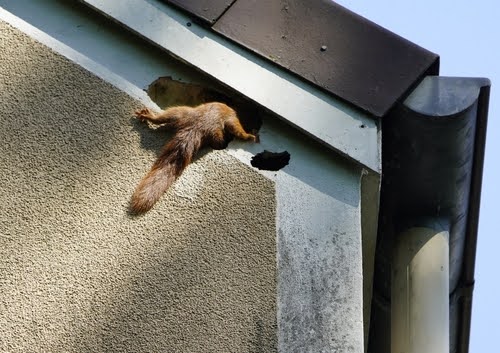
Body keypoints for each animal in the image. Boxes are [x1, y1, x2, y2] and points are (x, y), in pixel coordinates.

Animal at [130, 101, 258, 212]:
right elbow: (239, 131)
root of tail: (197, 126)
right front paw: (251, 135)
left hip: (180, 113)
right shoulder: (232, 118)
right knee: (219, 142)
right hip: (213, 131)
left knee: (162, 118)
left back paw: (149, 116)